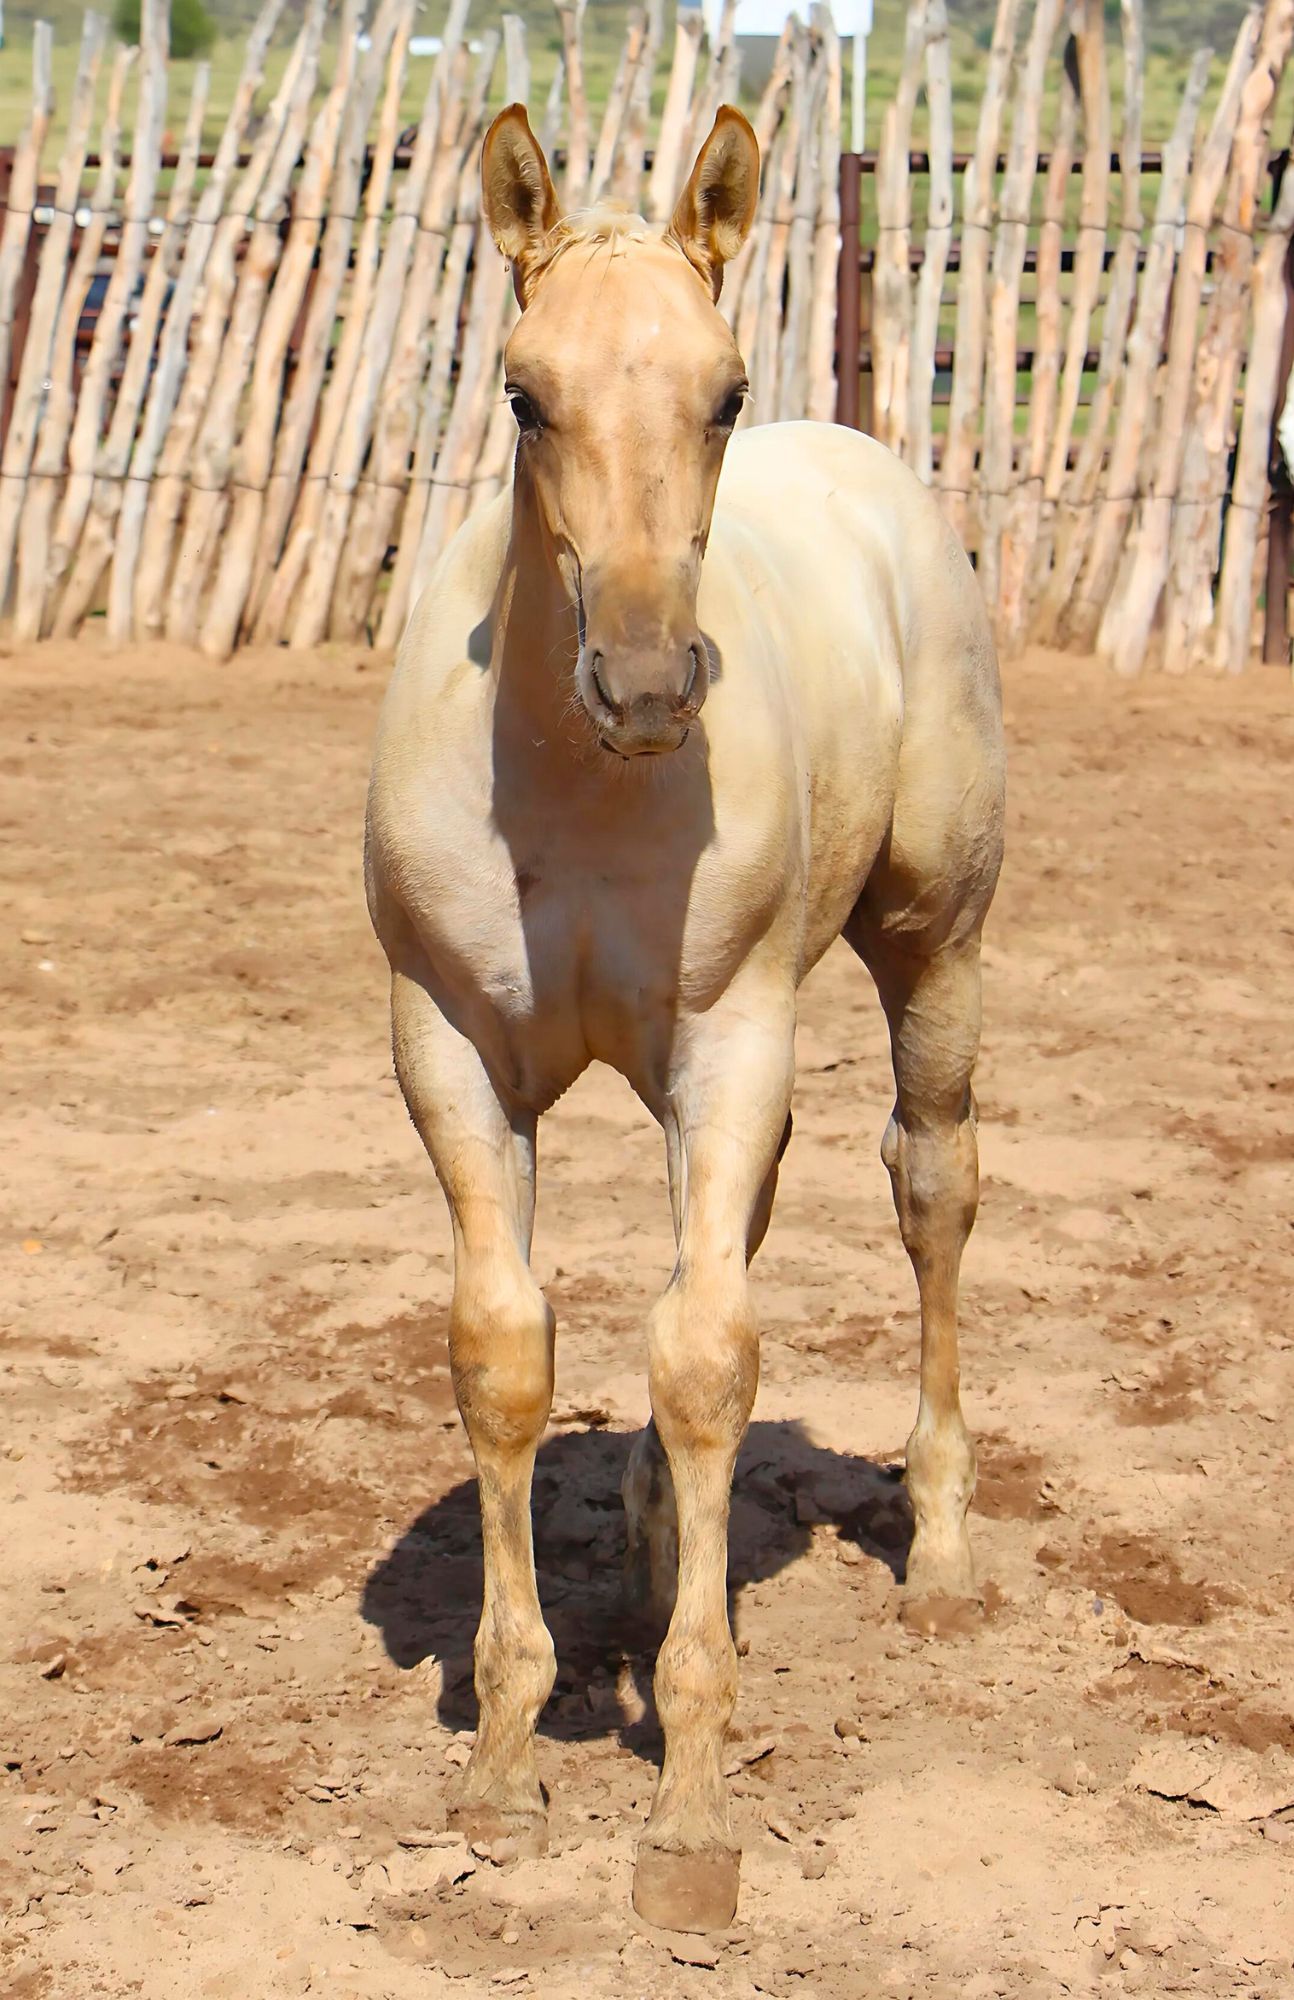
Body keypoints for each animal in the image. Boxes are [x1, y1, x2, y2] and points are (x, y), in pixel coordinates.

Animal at [364, 103, 1005, 1933]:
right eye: (522, 392)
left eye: (718, 392)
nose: (648, 688)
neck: (574, 794)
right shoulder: (449, 1050)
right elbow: (508, 1351)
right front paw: (505, 1762)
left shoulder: (730, 1042)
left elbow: (711, 1355)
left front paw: (693, 1805)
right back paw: (660, 1545)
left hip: (928, 948)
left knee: (927, 1189)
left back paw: (939, 1553)